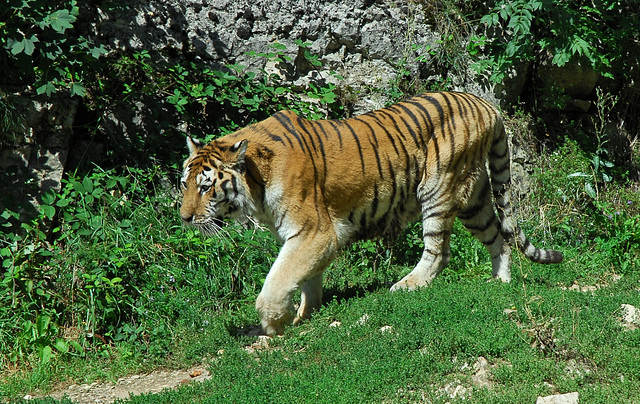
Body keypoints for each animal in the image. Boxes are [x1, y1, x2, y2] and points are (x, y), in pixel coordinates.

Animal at [178, 90, 564, 334]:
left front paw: (274, 323)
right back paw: (500, 282)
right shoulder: (310, 236)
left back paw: (408, 285)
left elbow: (278, 280)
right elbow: (307, 277)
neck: (256, 181)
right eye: (185, 184)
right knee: (498, 235)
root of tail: (485, 103)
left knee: (439, 251)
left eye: (205, 186)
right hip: (475, 199)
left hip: (439, 185)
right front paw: (305, 314)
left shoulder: (314, 230)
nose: (184, 218)